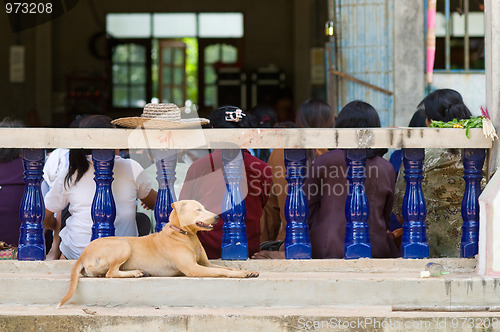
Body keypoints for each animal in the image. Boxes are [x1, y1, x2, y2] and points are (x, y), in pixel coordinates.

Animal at [58, 200, 260, 308]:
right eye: (198, 209)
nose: (218, 217)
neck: (184, 234)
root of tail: (83, 255)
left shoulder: (206, 264)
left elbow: (227, 267)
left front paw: (248, 271)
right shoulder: (194, 269)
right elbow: (223, 271)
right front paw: (242, 274)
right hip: (123, 245)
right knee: (110, 273)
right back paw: (135, 273)